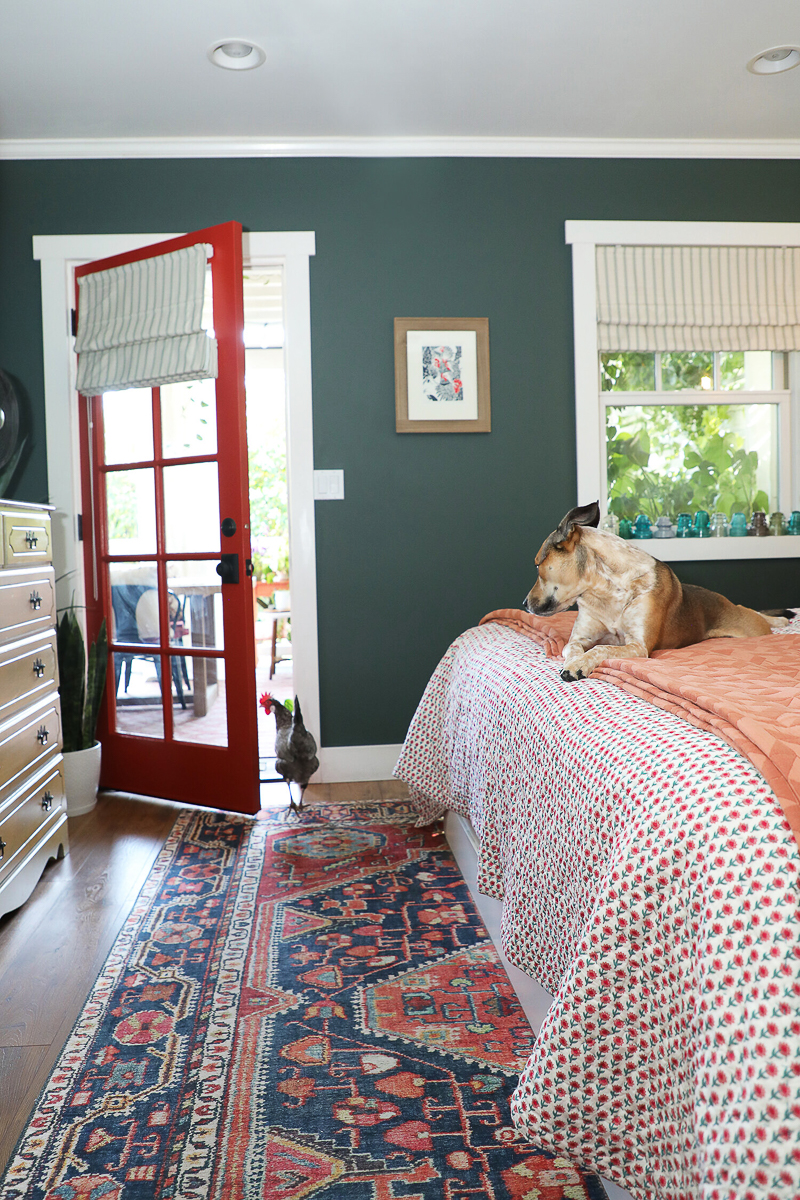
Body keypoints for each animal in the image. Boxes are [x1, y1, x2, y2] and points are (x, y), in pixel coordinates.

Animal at [522, 499, 791, 686]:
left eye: (537, 565)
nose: (524, 603)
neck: (605, 590)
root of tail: (723, 601)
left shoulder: (638, 646)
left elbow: (602, 648)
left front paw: (579, 664)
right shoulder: (579, 638)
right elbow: (573, 649)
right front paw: (573, 662)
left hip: (750, 627)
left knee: (753, 612)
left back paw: (780, 618)